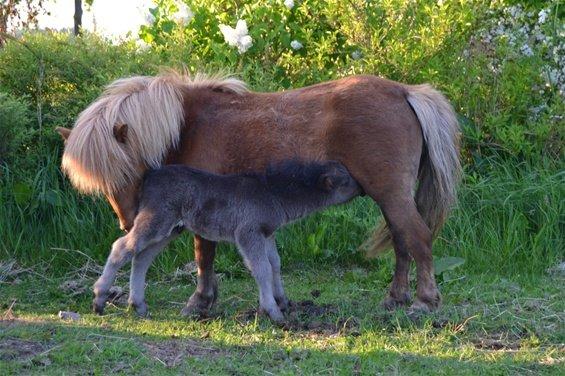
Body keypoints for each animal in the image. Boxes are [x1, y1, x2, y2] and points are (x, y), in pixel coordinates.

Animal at [91, 160, 356, 322]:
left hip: (169, 228)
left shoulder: (266, 233)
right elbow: (261, 268)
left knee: (141, 257)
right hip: (156, 219)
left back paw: (138, 305)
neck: (273, 192)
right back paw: (100, 298)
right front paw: (273, 312)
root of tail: (150, 176)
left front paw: (282, 301)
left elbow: (275, 264)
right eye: (346, 180)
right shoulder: (248, 233)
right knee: (122, 247)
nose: (361, 187)